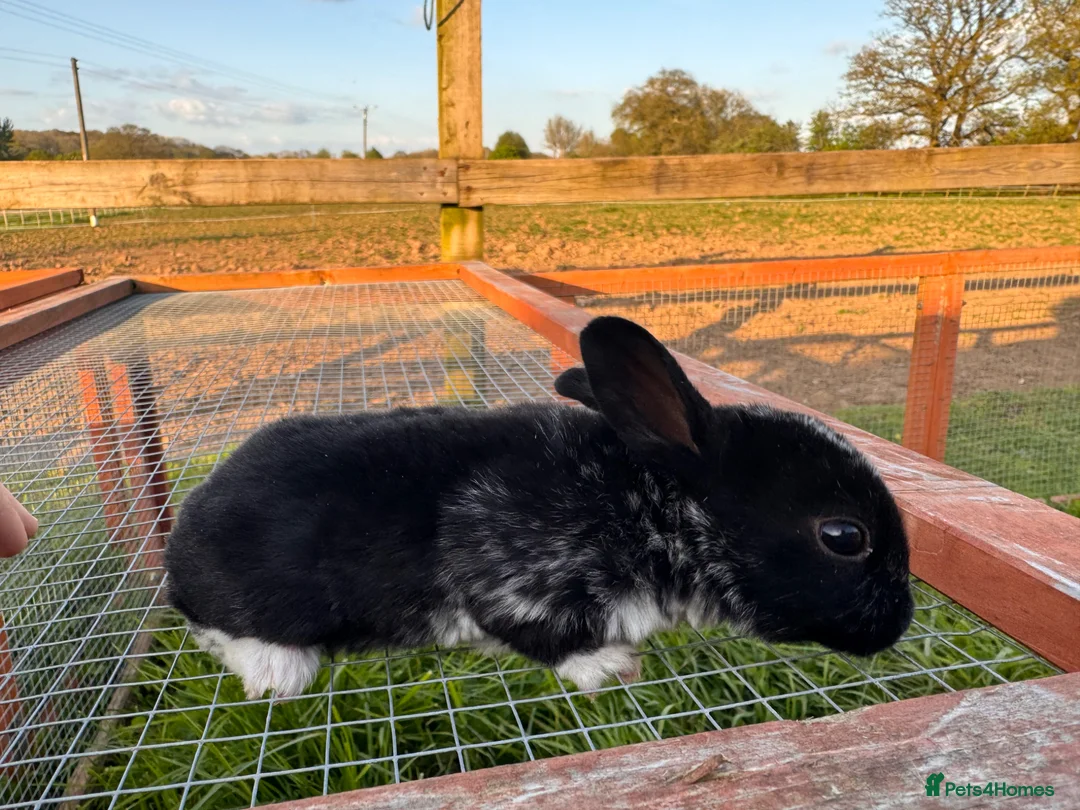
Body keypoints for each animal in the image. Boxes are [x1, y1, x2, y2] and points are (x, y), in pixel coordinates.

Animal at [164, 315, 913, 701]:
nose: (899, 622)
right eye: (843, 535)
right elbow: (547, 640)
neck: (654, 510)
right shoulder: (510, 579)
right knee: (218, 630)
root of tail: (177, 546)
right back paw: (278, 674)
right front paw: (613, 668)